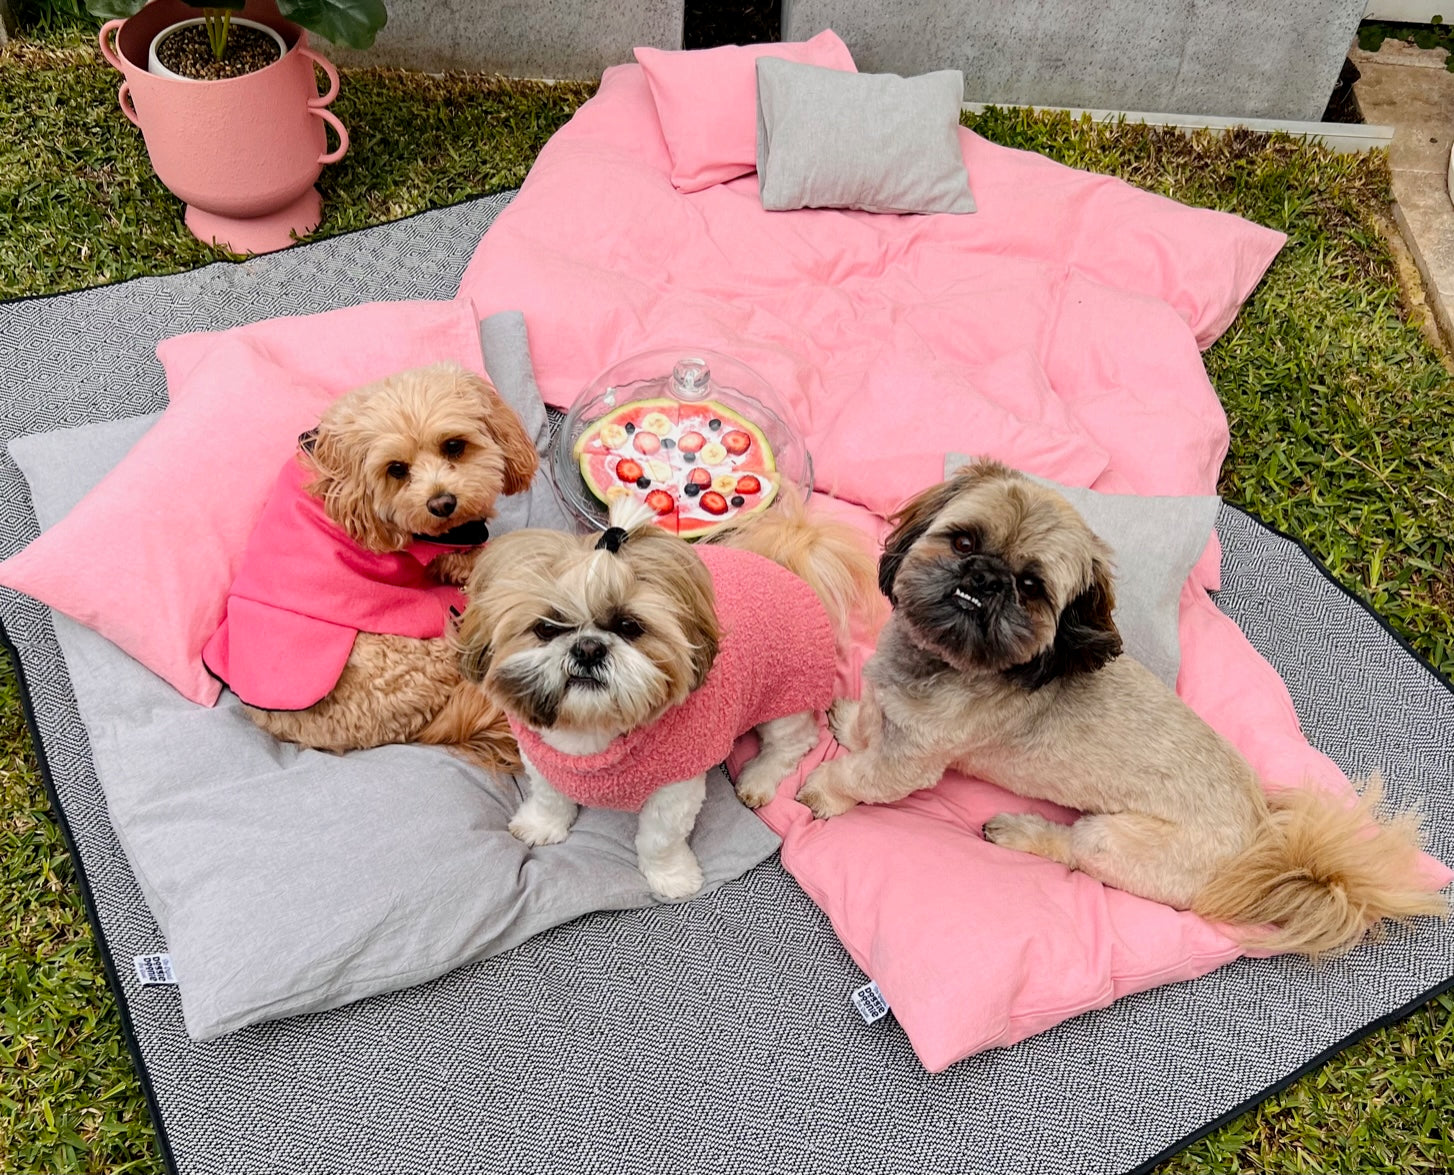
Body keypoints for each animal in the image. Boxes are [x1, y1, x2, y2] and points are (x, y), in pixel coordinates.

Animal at [802, 459, 1448, 953]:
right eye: (964, 541)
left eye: (1032, 588)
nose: (985, 579)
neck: (941, 662)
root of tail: (1261, 841)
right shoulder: (890, 707)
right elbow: (870, 720)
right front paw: (852, 722)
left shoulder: (910, 763)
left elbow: (861, 775)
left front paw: (822, 793)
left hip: (1112, 839)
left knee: (1075, 852)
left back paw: (1021, 831)